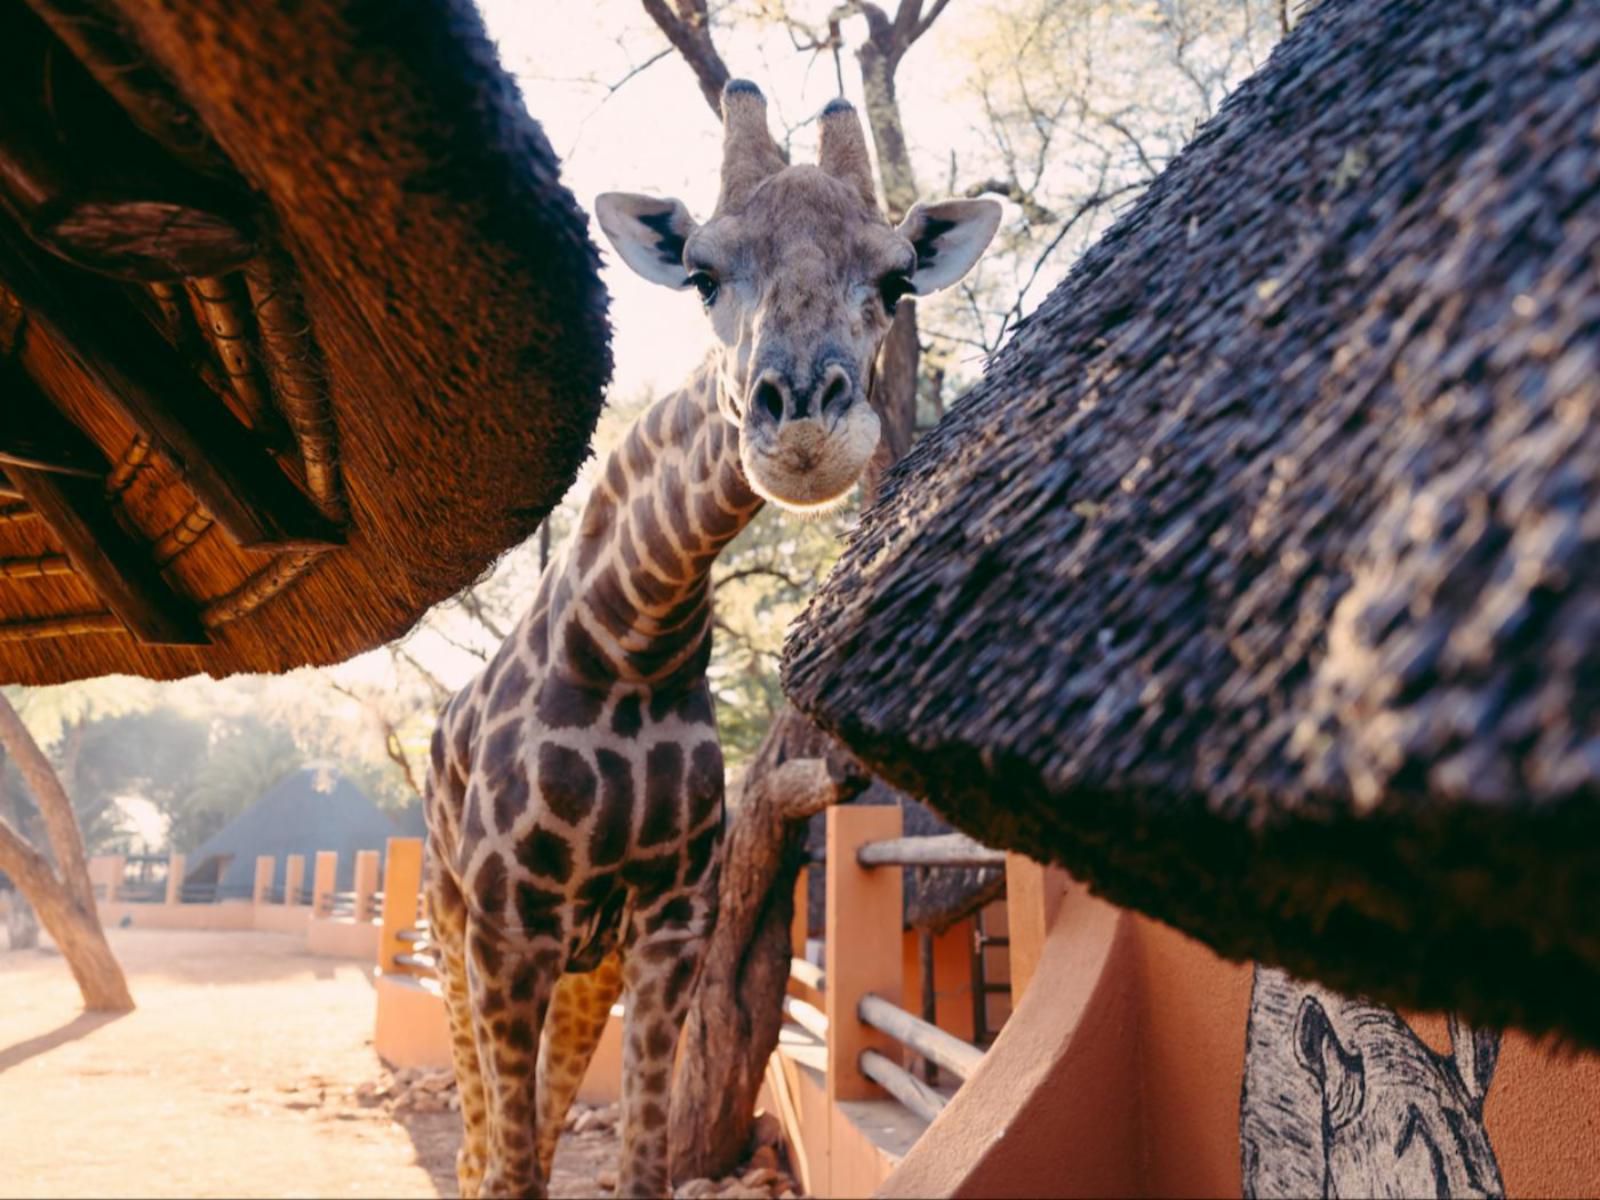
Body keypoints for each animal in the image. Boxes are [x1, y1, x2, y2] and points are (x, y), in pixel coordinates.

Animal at [425, 80, 998, 1196]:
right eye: (701, 274)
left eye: (895, 278)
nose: (805, 425)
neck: (630, 642)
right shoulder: (509, 925)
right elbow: (507, 1171)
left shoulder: (667, 925)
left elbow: (639, 1164)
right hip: (448, 915)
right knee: (477, 1148)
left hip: (584, 960)